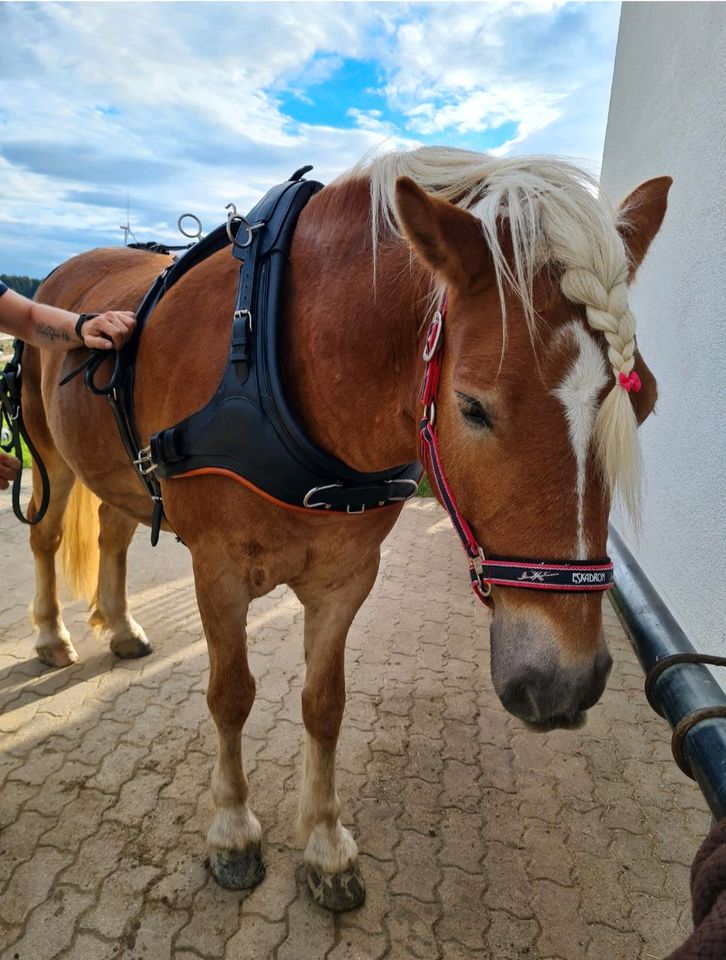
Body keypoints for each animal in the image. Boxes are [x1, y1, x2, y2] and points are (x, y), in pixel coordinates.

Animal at [17, 148, 672, 908]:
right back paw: (50, 636)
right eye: (472, 406)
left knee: (115, 534)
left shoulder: (347, 576)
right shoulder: (216, 570)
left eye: (644, 402)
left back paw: (121, 626)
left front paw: (326, 845)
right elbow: (231, 696)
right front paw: (233, 830)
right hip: (50, 454)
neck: (274, 358)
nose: (563, 683)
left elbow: (324, 704)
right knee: (45, 538)